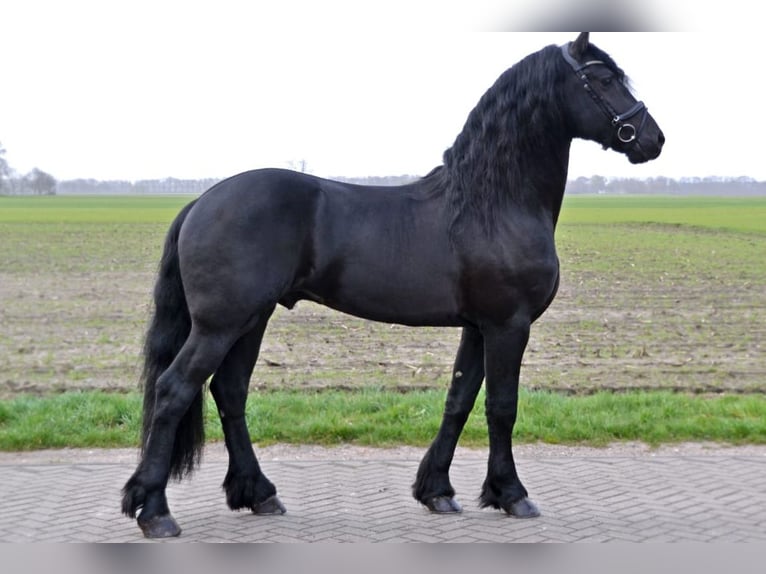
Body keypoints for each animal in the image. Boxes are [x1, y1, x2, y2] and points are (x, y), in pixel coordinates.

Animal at [122, 32, 664, 538]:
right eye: (604, 79)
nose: (653, 139)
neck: (493, 203)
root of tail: (201, 202)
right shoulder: (509, 326)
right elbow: (501, 407)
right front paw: (511, 494)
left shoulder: (478, 327)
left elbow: (459, 401)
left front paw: (437, 491)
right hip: (220, 324)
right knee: (174, 390)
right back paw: (156, 512)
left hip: (252, 319)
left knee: (229, 392)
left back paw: (258, 494)